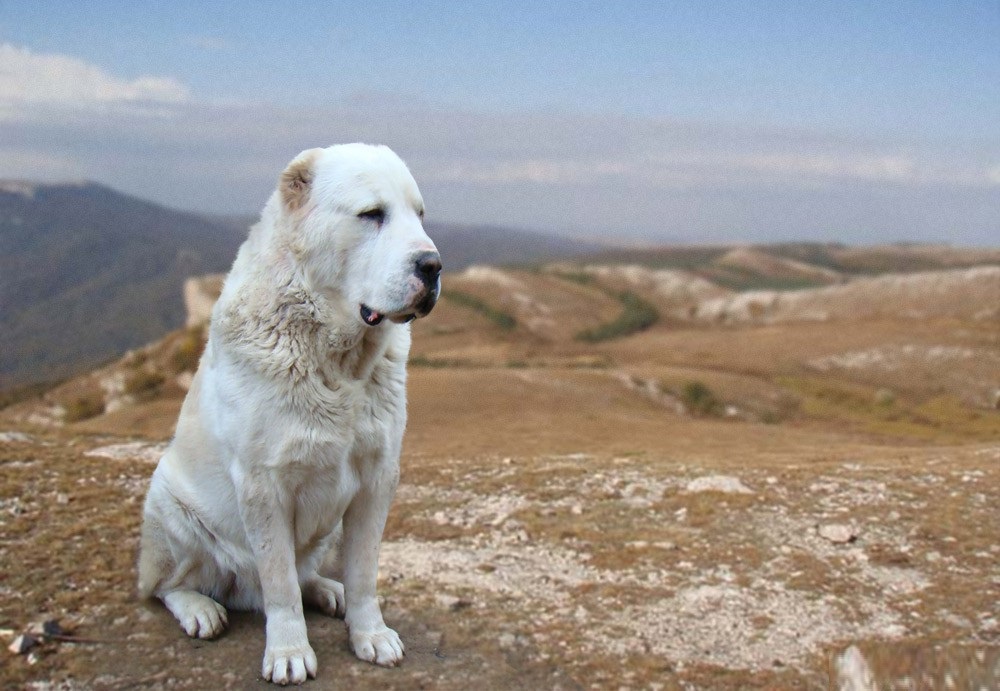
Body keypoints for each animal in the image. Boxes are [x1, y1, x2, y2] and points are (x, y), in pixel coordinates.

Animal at [139, 143, 440, 684]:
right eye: (372, 214)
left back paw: (325, 590)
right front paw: (288, 652)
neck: (338, 362)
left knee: (305, 575)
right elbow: (278, 585)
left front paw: (370, 633)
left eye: (419, 215)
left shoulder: (377, 478)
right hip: (170, 506)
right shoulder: (263, 485)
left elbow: (363, 573)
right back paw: (200, 609)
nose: (433, 265)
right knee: (167, 586)